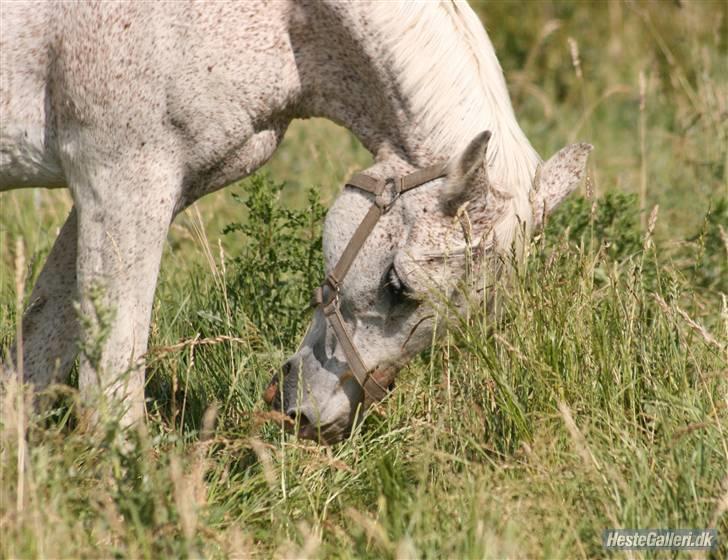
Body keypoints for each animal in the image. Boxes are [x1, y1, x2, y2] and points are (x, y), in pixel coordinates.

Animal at [0, 2, 588, 436]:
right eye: (398, 286)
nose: (317, 419)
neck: (279, 16)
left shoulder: (140, 190)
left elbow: (45, 334)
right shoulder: (120, 180)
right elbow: (113, 377)